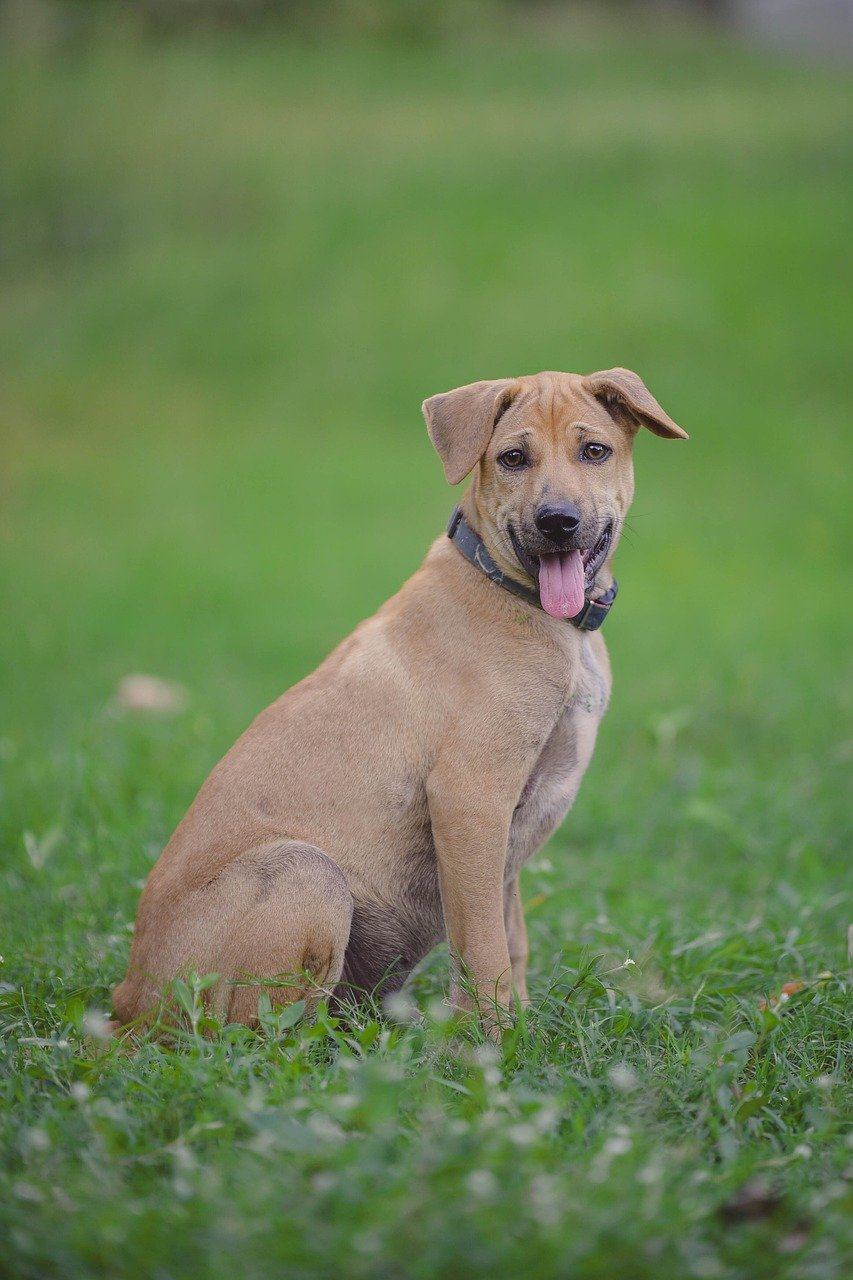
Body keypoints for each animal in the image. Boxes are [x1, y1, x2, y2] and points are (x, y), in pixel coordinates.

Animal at [112, 368, 686, 1029]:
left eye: (595, 451)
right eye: (513, 458)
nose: (557, 522)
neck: (530, 604)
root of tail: (125, 1001)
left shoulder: (510, 831)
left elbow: (510, 936)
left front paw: (518, 1026)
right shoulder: (470, 797)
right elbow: (484, 946)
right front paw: (493, 1040)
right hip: (306, 876)